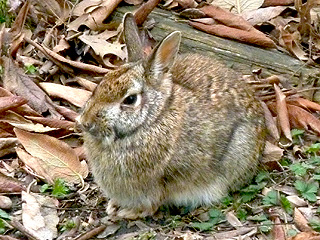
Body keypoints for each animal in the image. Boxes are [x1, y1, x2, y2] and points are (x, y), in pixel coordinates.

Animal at [79, 12, 266, 219]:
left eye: (130, 99)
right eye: (99, 85)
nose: (85, 122)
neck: (153, 119)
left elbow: (153, 202)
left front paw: (127, 212)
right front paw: (114, 206)